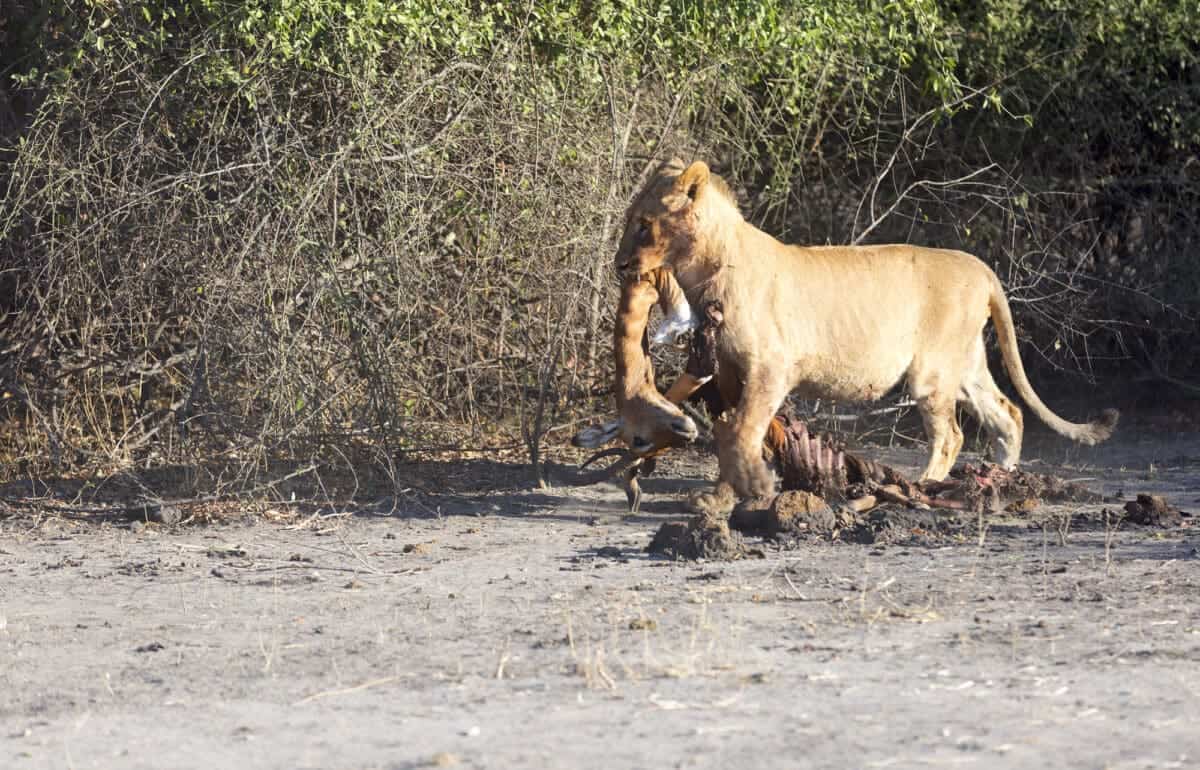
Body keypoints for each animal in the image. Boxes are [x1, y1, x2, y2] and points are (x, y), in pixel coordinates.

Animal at [614, 158, 1118, 513]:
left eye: (643, 224)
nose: (620, 265)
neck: (706, 267)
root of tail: (980, 267)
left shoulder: (771, 369)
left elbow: (742, 432)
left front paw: (757, 488)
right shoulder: (730, 373)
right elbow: (729, 433)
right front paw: (720, 496)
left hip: (932, 371)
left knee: (952, 435)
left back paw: (925, 486)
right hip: (967, 362)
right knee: (1008, 414)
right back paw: (1002, 478)